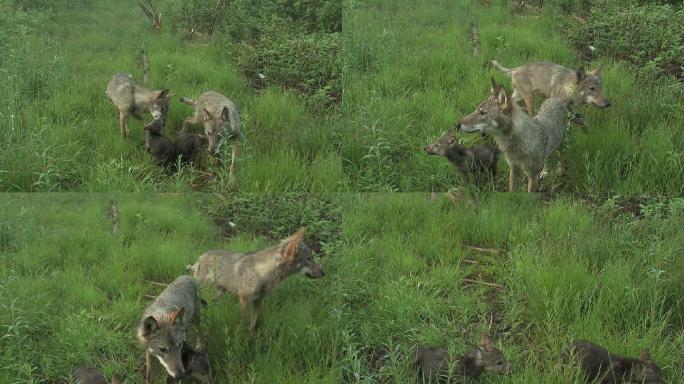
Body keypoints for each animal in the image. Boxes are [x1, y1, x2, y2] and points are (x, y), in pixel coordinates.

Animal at [187, 226, 326, 332]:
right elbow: (243, 324)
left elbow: (253, 325)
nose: (323, 273)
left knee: (212, 302)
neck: (261, 274)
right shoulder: (243, 302)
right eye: (309, 259)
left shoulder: (258, 301)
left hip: (220, 291)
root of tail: (200, 257)